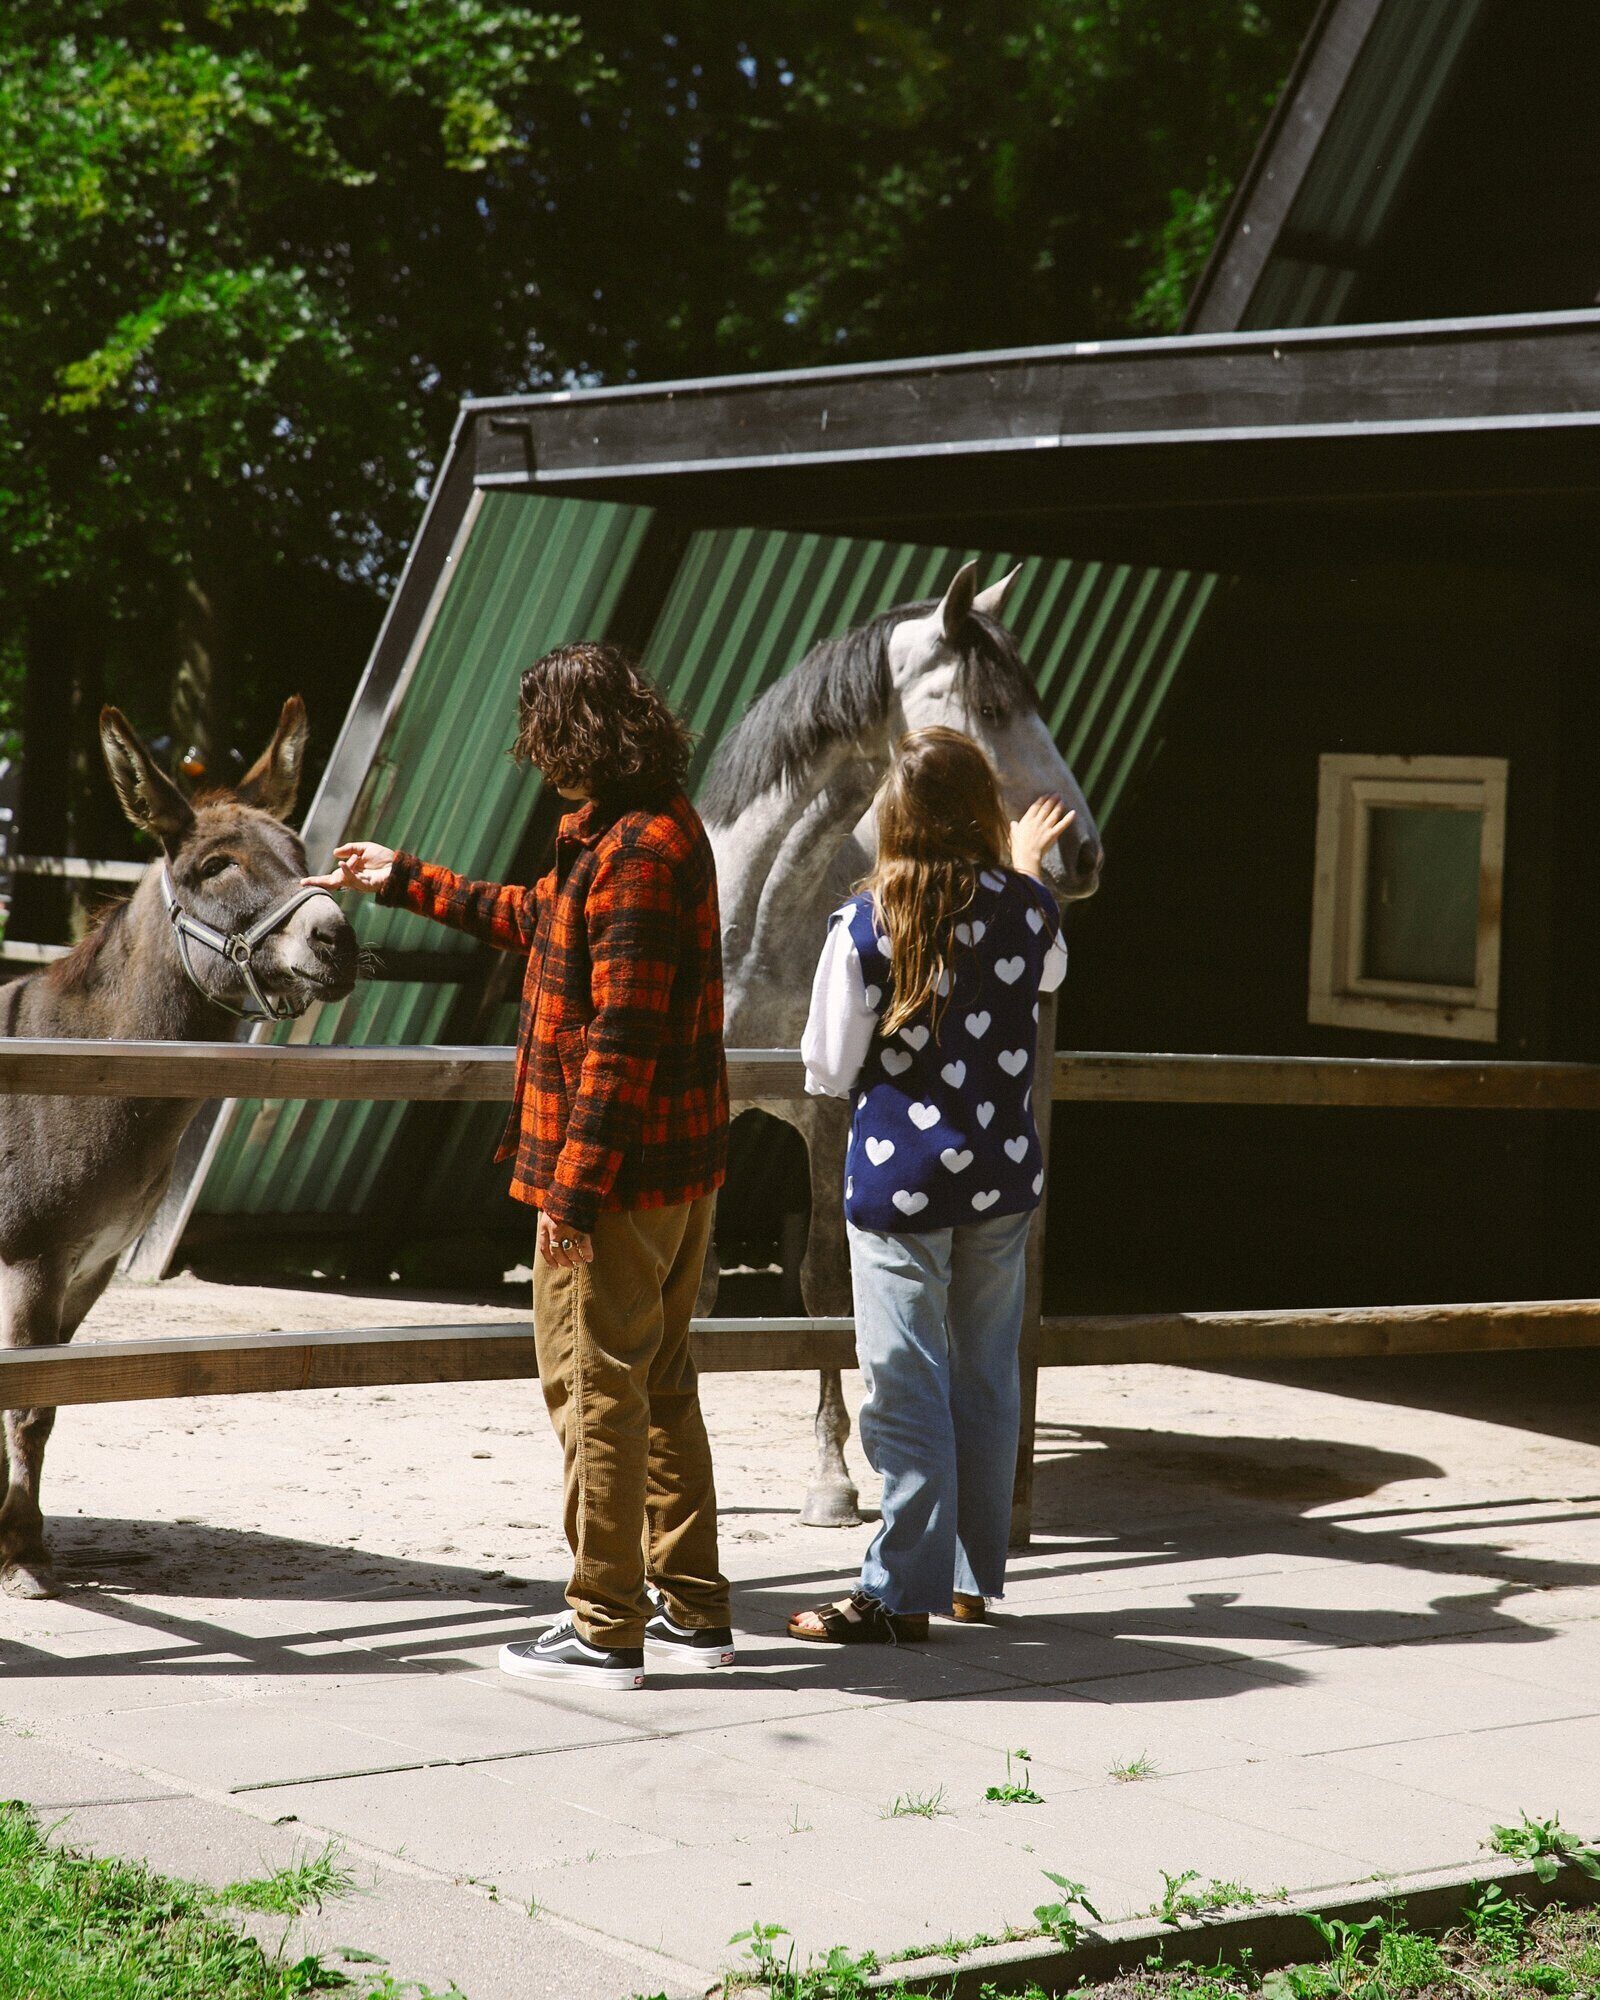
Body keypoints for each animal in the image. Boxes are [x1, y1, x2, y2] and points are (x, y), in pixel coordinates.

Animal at [0, 704, 356, 1592]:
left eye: (302, 855)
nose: (335, 937)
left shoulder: (88, 1267)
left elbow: (49, 1399)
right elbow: (25, 1402)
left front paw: (17, 1539)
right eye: (214, 866)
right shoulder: (30, 1257)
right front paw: (19, 1556)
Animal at [696, 556, 1104, 1520]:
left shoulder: (827, 1116)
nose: (1082, 855)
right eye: (991, 705)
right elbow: (694, 1285)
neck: (754, 923)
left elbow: (820, 1282)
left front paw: (831, 1480)